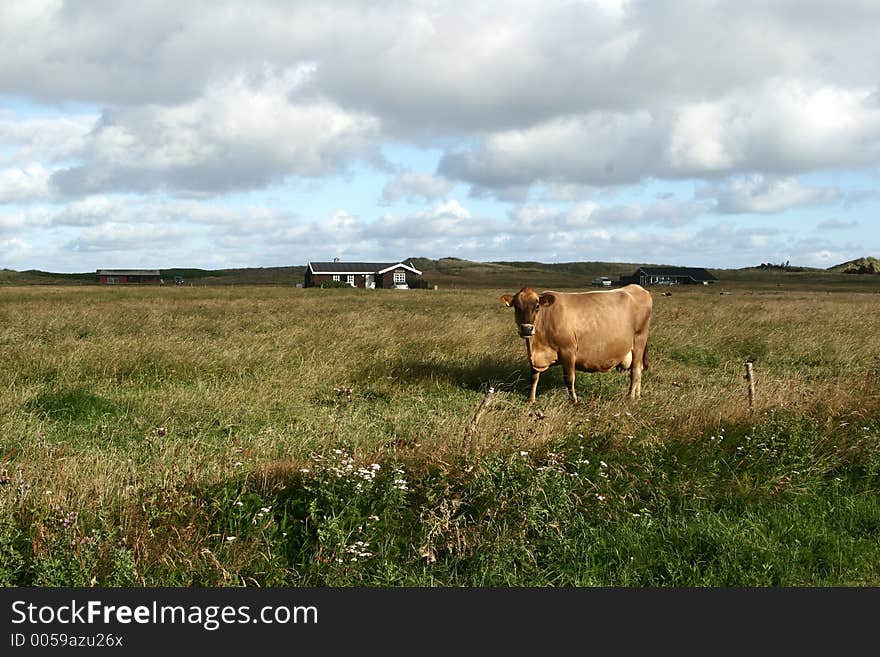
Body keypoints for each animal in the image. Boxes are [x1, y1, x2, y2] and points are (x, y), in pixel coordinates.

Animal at [502, 284, 652, 402]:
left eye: (537, 306)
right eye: (517, 307)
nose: (527, 328)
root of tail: (636, 287)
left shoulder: (568, 350)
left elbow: (569, 378)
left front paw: (573, 400)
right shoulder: (534, 357)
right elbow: (533, 377)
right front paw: (531, 400)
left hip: (639, 339)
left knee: (635, 371)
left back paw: (631, 397)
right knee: (639, 370)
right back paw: (638, 396)